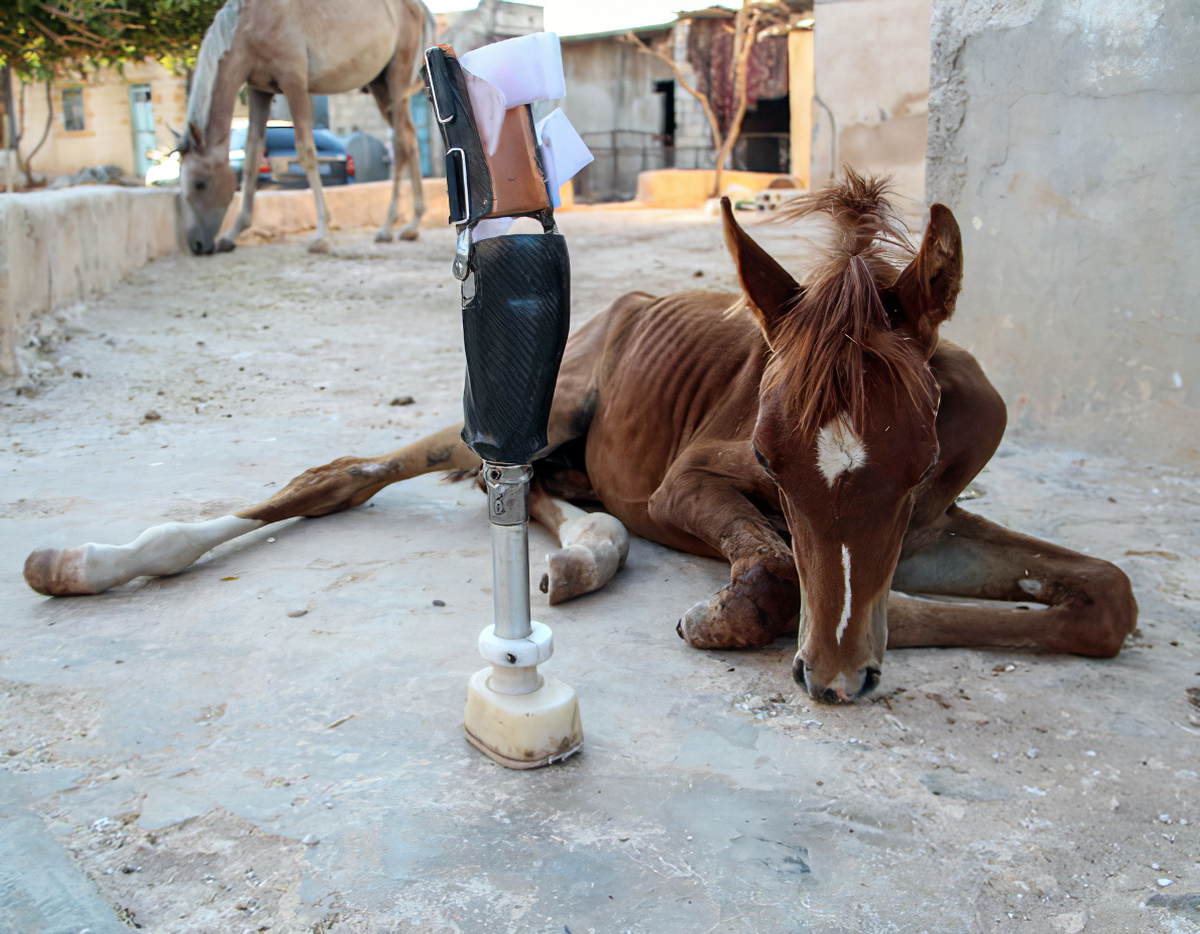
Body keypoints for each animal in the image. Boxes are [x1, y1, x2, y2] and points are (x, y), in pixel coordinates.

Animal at [25, 175, 1132, 701]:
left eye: (914, 471)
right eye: (770, 459)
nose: (833, 678)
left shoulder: (934, 524)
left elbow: (1106, 596)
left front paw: (874, 627)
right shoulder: (694, 481)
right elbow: (779, 568)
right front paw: (760, 616)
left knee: (532, 494)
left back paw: (588, 557)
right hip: (543, 408)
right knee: (355, 474)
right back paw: (80, 560)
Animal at [178, 0, 436, 254]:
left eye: (200, 183)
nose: (197, 245)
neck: (250, 25)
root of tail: (419, 8)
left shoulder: (294, 82)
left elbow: (306, 152)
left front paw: (321, 235)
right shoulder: (259, 90)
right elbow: (252, 158)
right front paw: (233, 233)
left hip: (396, 81)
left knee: (400, 142)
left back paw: (391, 227)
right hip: (379, 85)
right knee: (409, 138)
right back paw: (410, 224)